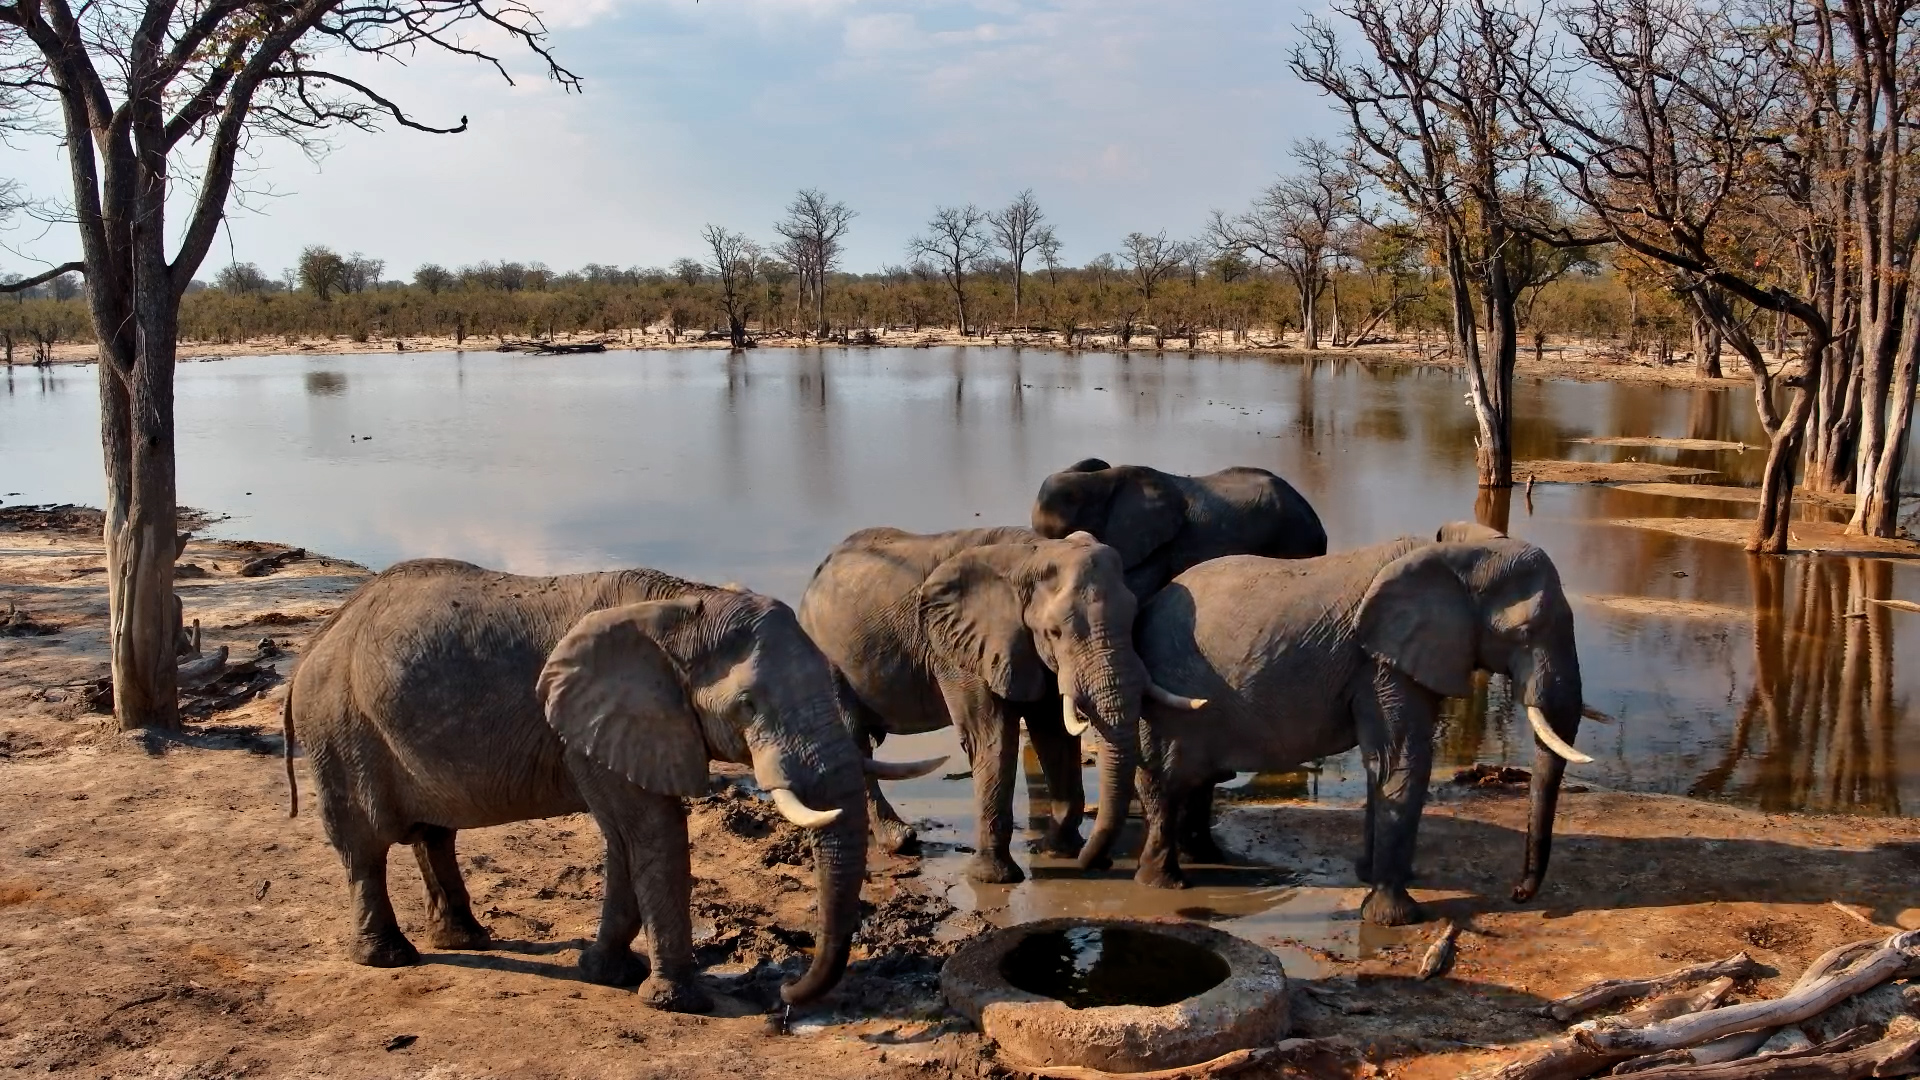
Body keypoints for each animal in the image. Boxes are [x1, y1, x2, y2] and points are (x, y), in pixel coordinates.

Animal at [286, 559, 939, 1012]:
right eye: (748, 706)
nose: (787, 997)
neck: (684, 607)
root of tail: (321, 637)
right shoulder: (598, 722)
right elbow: (654, 830)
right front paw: (677, 1004)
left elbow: (625, 839)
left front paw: (605, 973)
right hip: (340, 729)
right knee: (364, 848)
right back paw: (390, 958)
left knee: (433, 835)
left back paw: (463, 938)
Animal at [797, 528, 1201, 884]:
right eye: (1055, 632)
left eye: (1134, 620)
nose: (1099, 864)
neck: (1033, 554)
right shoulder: (958, 651)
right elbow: (990, 737)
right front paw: (995, 878)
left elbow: (1053, 732)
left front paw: (1059, 850)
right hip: (825, 657)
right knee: (852, 742)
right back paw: (899, 841)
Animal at [1093, 524, 1591, 926]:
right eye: (1524, 634)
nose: (1519, 894)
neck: (1458, 553)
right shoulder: (1381, 662)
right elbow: (1403, 763)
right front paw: (1397, 918)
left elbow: (1382, 764)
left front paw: (1372, 876)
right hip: (1172, 691)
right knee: (1166, 777)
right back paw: (1165, 883)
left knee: (1194, 779)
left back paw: (1211, 859)